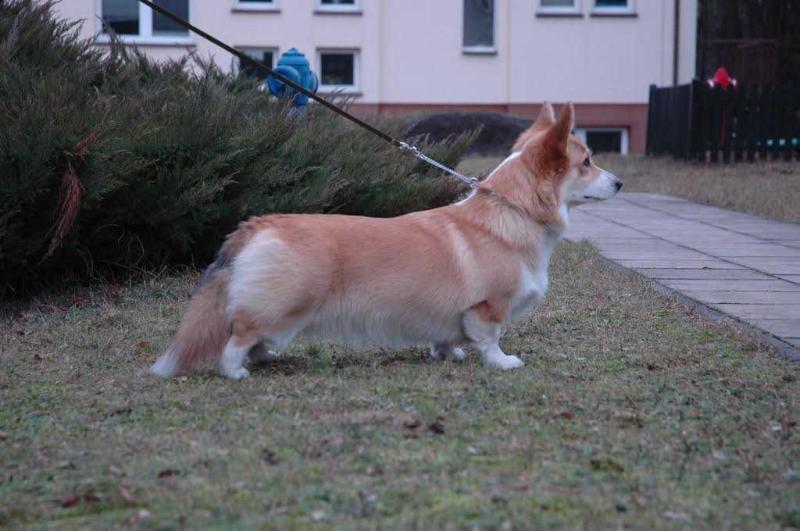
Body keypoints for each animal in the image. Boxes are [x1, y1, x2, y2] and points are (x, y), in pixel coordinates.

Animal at [153, 103, 620, 378]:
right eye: (587, 162)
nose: (619, 183)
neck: (513, 211)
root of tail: (257, 224)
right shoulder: (489, 307)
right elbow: (490, 339)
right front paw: (502, 363)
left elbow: (447, 337)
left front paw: (449, 354)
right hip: (285, 303)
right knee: (238, 337)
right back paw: (238, 371)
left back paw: (266, 358)